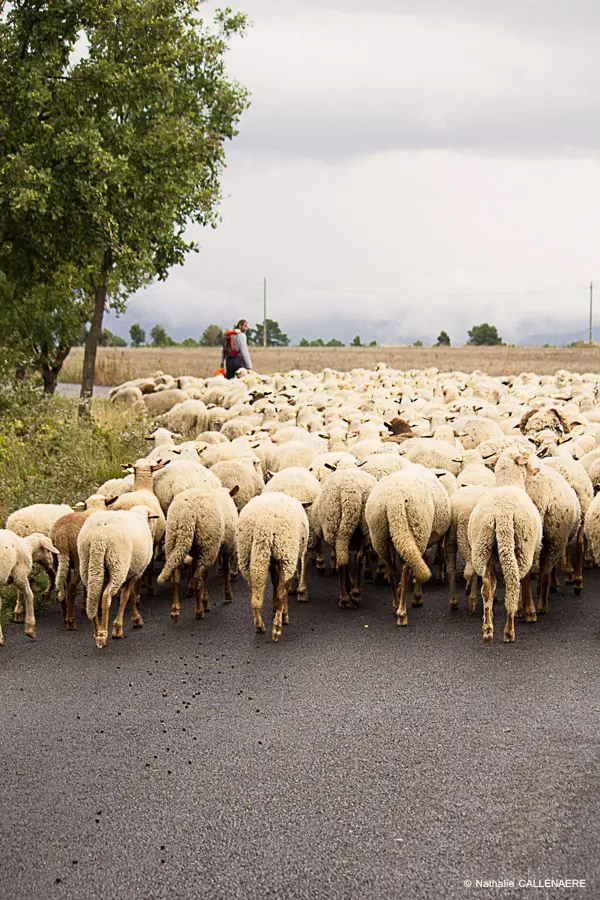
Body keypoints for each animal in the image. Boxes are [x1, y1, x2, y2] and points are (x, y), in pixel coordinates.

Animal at [77, 506, 156, 648]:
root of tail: (98, 535)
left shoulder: (130, 572)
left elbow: (128, 595)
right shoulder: (136, 572)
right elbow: (129, 596)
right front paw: (132, 621)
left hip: (88, 563)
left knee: (93, 597)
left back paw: (97, 633)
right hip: (117, 564)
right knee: (106, 596)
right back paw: (103, 634)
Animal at [157, 488, 239, 624]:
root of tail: (186, 515)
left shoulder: (198, 553)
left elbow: (204, 576)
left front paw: (205, 601)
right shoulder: (227, 545)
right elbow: (225, 570)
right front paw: (227, 594)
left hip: (173, 541)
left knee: (176, 578)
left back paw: (175, 611)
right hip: (207, 543)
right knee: (196, 580)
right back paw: (199, 611)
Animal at [237, 492, 310, 640]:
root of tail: (263, 523)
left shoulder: (272, 562)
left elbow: (274, 583)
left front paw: (275, 606)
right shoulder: (286, 559)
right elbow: (282, 588)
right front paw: (282, 612)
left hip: (246, 553)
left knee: (254, 593)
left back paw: (259, 625)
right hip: (286, 552)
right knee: (282, 590)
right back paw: (278, 627)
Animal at [312, 468, 378, 608]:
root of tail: (351, 492)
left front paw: (348, 586)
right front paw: (352, 586)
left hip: (334, 525)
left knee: (342, 559)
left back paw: (344, 597)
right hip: (365, 527)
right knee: (358, 557)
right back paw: (356, 593)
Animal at [468, 446, 544, 644]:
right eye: (526, 457)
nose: (537, 469)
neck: (510, 483)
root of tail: (502, 513)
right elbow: (525, 580)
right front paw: (526, 610)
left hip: (483, 547)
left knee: (487, 587)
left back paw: (487, 630)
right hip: (520, 548)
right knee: (513, 583)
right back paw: (509, 630)